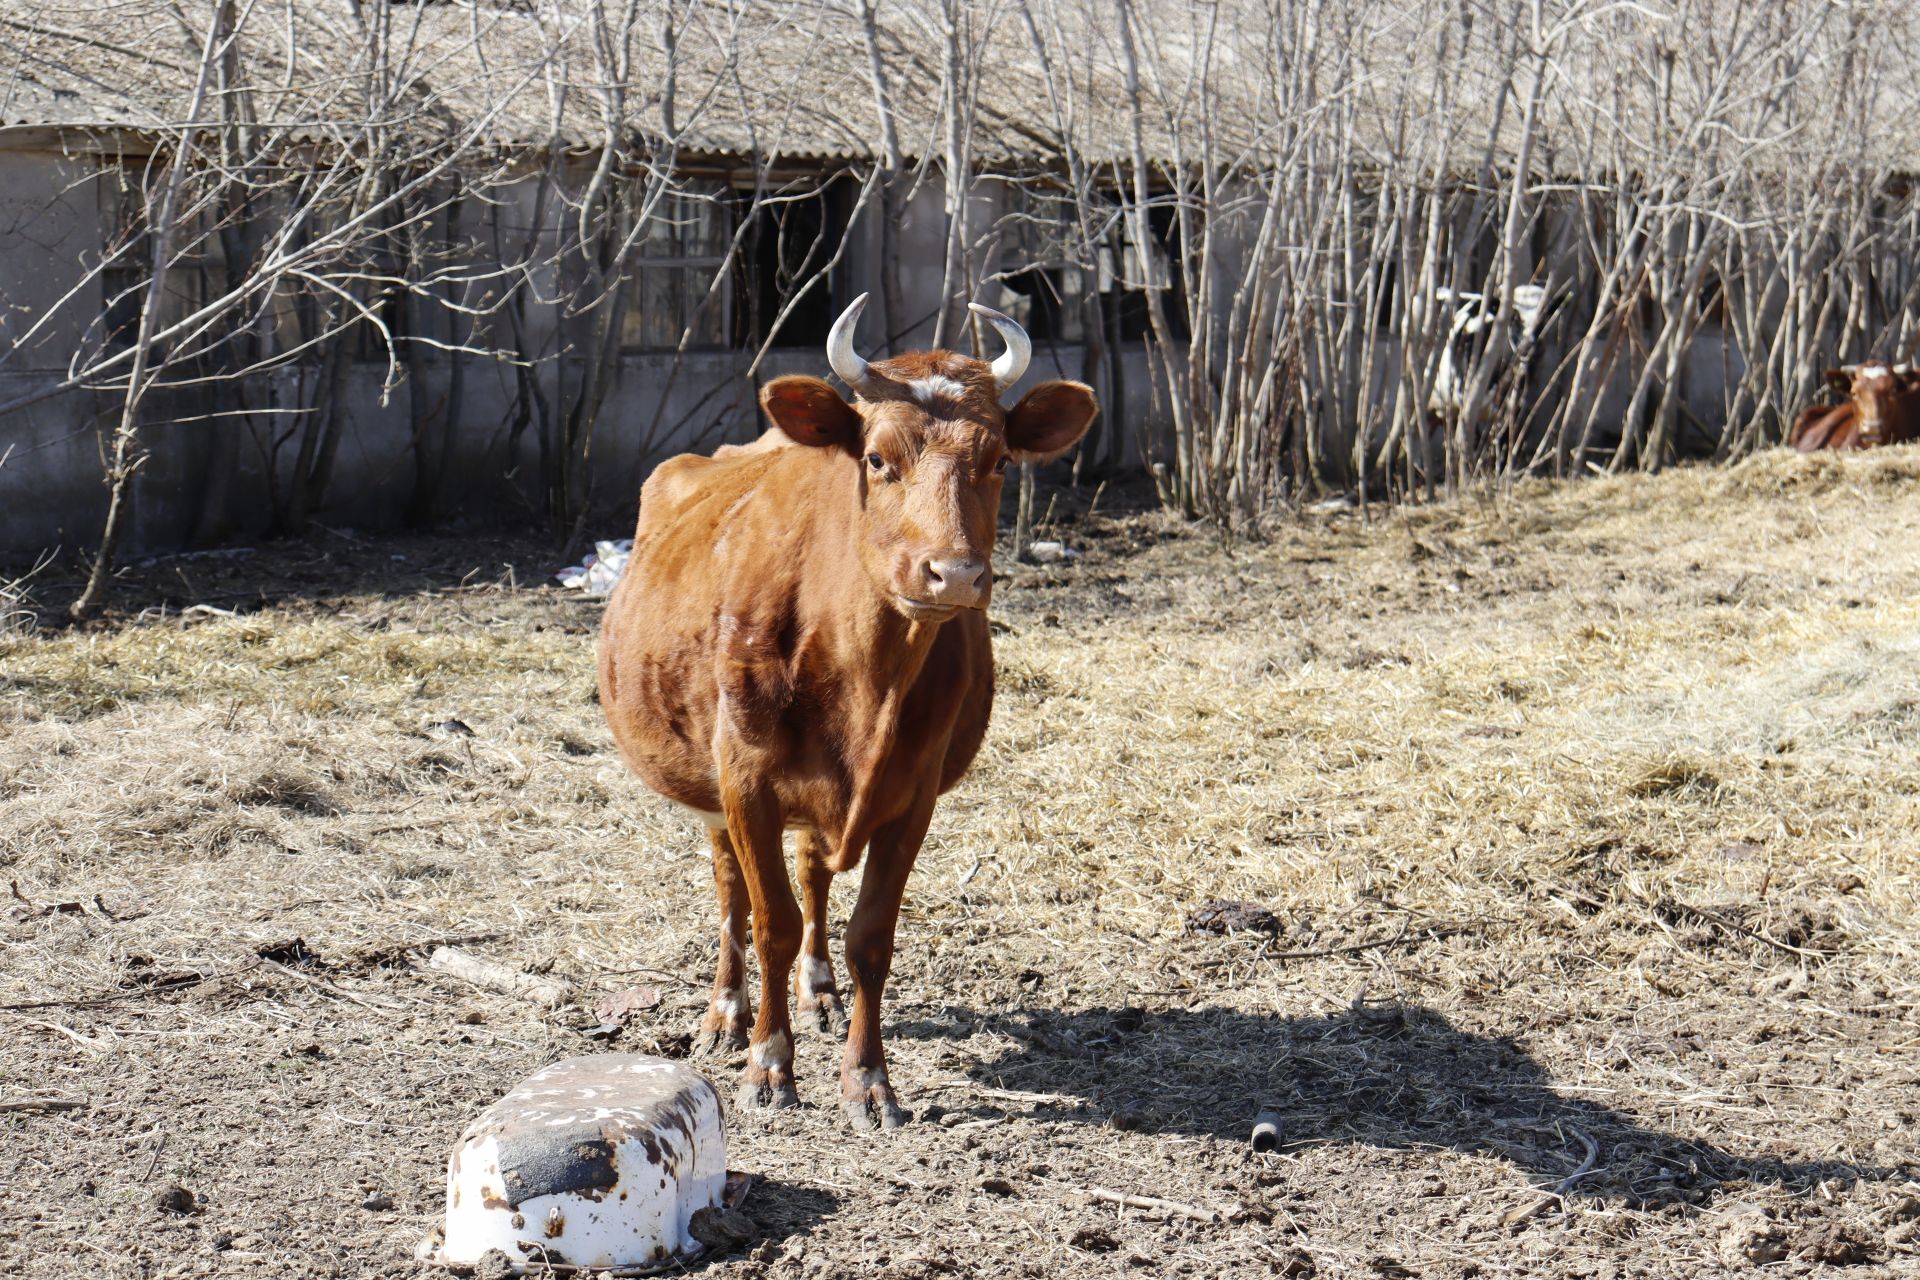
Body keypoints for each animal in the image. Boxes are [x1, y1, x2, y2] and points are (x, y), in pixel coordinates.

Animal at [606, 295, 1105, 1128]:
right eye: (876, 458)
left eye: (1000, 460)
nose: (954, 573)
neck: (864, 679)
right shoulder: (745, 779)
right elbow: (769, 921)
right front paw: (769, 1066)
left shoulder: (913, 791)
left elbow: (870, 935)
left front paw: (868, 1079)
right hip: (707, 780)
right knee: (730, 888)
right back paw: (727, 1013)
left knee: (813, 874)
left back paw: (819, 993)